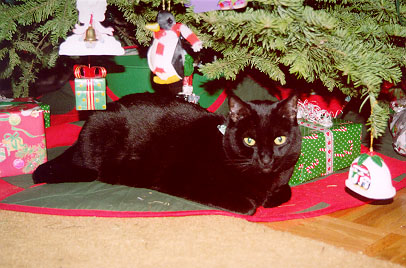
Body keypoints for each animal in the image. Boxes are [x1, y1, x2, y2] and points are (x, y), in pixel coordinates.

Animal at [33, 93, 302, 215]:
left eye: (279, 140)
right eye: (249, 140)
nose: (266, 159)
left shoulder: (282, 178)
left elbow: (285, 191)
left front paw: (271, 197)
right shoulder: (193, 182)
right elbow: (250, 206)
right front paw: (255, 201)